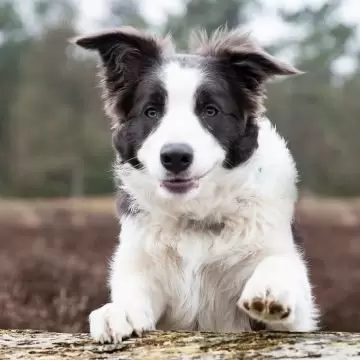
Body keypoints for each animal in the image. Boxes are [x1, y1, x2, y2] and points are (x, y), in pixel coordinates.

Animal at [72, 26, 318, 344]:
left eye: (210, 111)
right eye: (152, 112)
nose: (175, 157)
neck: (195, 219)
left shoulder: (294, 314)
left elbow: (279, 263)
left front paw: (270, 287)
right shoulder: (142, 266)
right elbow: (134, 293)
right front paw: (119, 311)